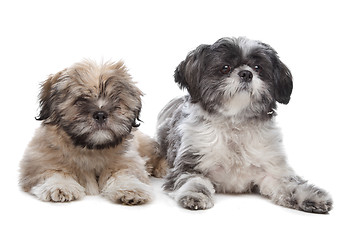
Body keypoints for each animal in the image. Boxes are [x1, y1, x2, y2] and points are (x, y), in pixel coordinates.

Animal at [19, 60, 166, 204]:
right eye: (80, 100)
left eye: (116, 99)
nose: (100, 114)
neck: (92, 149)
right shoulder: (39, 161)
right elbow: (55, 172)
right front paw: (60, 186)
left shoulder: (127, 160)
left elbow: (125, 173)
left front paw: (130, 189)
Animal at [156, 36, 334, 213]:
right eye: (225, 68)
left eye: (257, 68)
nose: (246, 73)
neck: (236, 123)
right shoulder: (191, 162)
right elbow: (193, 180)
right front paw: (195, 195)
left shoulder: (272, 169)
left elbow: (291, 183)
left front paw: (311, 196)